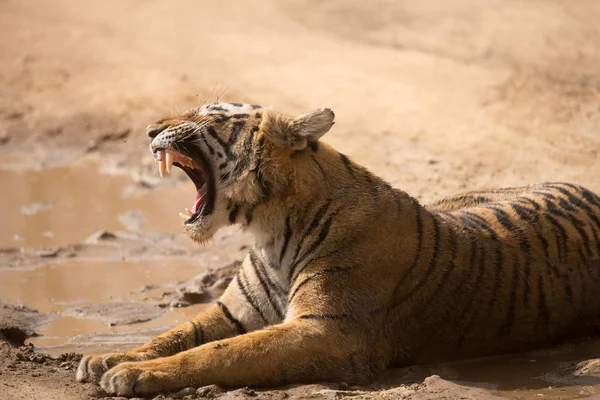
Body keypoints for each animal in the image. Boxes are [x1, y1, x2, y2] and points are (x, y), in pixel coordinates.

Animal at [75, 101, 600, 396]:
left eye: (210, 115)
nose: (148, 130)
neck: (267, 227)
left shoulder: (327, 331)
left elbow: (218, 353)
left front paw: (131, 375)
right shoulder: (233, 313)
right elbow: (177, 335)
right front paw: (107, 359)